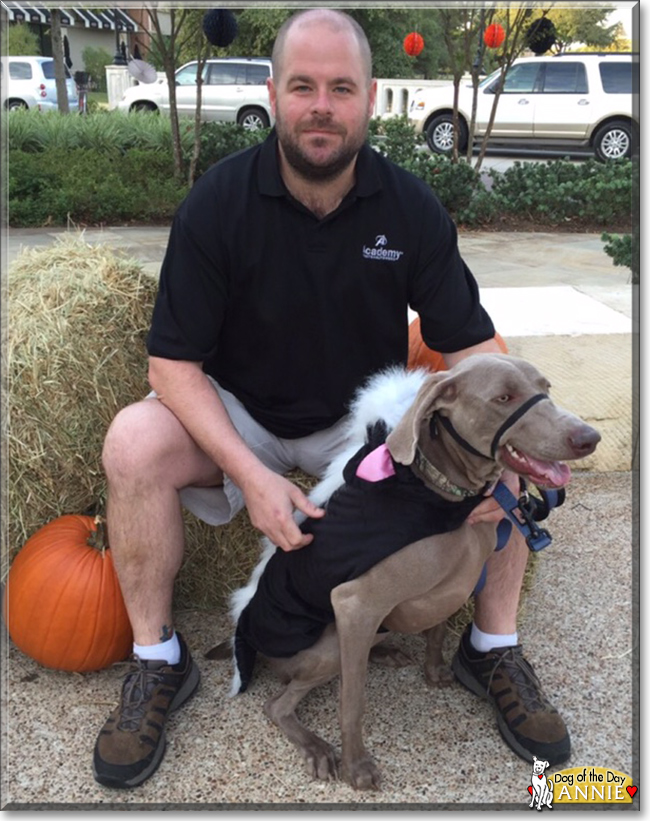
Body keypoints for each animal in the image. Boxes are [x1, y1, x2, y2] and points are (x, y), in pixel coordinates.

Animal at [208, 352, 596, 788]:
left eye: (545, 388)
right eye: (503, 397)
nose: (589, 437)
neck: (438, 489)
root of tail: (242, 637)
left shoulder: (450, 587)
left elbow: (437, 630)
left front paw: (434, 671)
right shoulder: (353, 601)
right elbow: (352, 701)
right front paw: (357, 766)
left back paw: (385, 651)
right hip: (324, 647)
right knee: (279, 703)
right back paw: (317, 748)